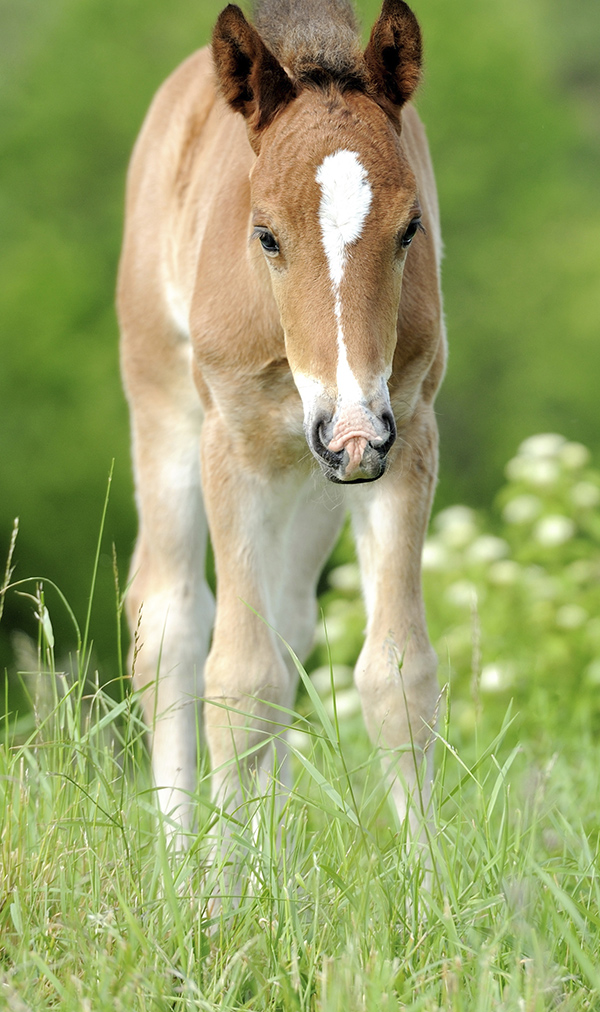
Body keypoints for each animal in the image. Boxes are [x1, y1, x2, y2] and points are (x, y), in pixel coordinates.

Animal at [116, 0, 445, 854]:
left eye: (411, 228)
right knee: (171, 623)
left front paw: (432, 890)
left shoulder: (404, 436)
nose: (353, 430)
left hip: (314, 479)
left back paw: (276, 858)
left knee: (290, 625)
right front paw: (214, 891)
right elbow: (238, 679)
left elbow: (397, 677)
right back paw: (178, 860)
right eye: (265, 235)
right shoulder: (232, 448)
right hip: (164, 403)